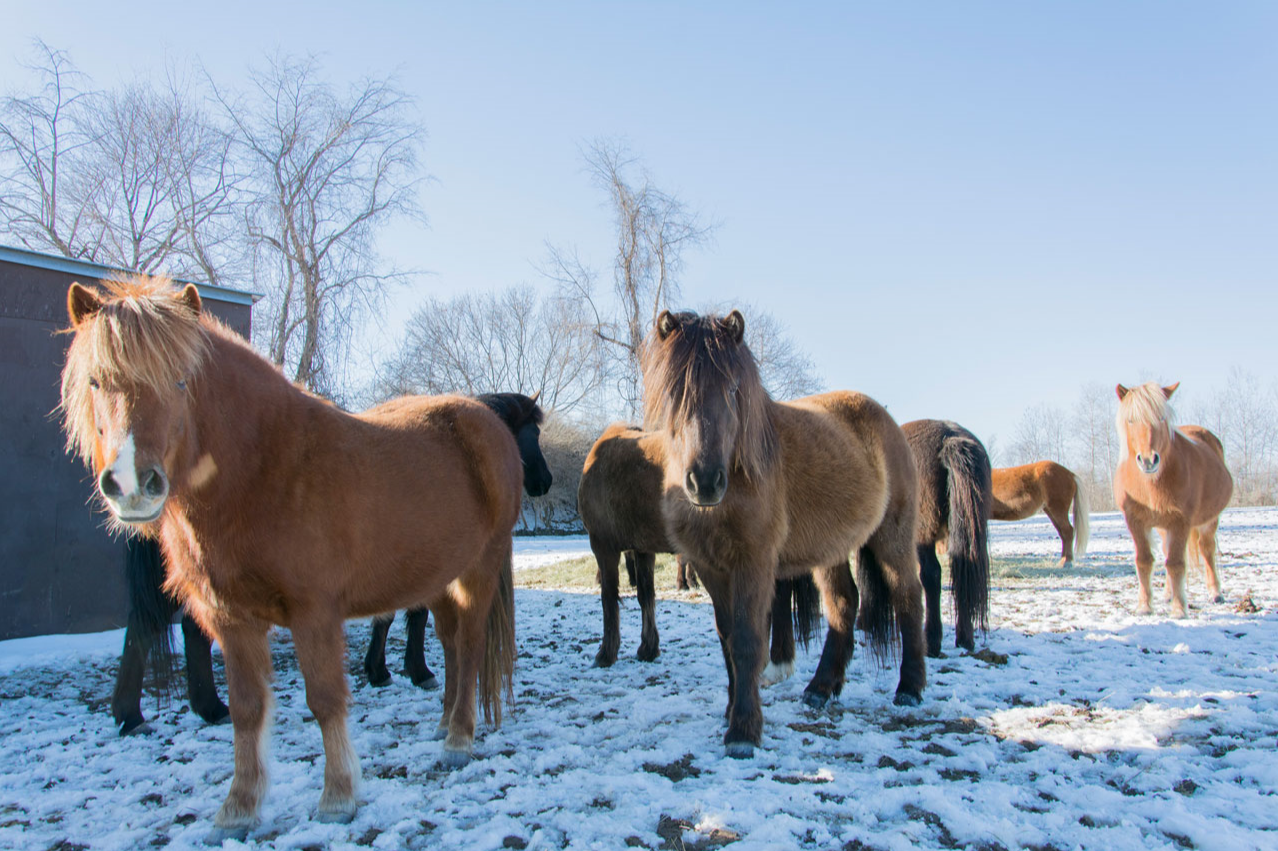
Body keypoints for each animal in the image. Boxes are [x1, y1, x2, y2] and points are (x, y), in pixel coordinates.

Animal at [60, 273, 518, 833]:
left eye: (181, 381)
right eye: (95, 382)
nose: (131, 484)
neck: (265, 467)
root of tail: (488, 424)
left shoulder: (313, 612)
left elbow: (324, 699)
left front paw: (338, 797)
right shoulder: (231, 618)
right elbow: (246, 708)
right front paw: (239, 807)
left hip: (479, 569)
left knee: (470, 646)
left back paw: (459, 739)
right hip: (437, 577)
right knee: (451, 644)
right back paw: (445, 721)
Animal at [580, 421, 817, 679]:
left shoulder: (603, 546)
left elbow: (609, 599)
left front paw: (606, 653)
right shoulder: (643, 549)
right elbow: (646, 597)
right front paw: (648, 648)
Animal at [644, 306, 925, 756]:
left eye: (734, 388)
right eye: (674, 390)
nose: (705, 482)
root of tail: (889, 422)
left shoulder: (755, 563)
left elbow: (747, 641)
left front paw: (744, 731)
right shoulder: (710, 567)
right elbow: (727, 640)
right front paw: (732, 711)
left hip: (893, 539)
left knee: (908, 599)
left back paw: (910, 689)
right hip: (831, 550)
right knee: (843, 604)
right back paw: (820, 689)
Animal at [899, 419, 986, 654]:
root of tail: (949, 436)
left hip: (923, 537)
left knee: (932, 576)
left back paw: (932, 640)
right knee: (963, 570)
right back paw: (965, 639)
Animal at [1114, 380, 1231, 613]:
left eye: (1161, 418)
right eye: (1131, 420)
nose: (1148, 460)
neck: (1149, 485)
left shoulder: (1180, 521)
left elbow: (1176, 563)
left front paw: (1179, 610)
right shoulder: (1135, 521)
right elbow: (1144, 561)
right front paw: (1144, 607)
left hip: (1209, 520)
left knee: (1207, 550)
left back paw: (1216, 593)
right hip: (1163, 527)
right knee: (1168, 551)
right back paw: (1168, 594)